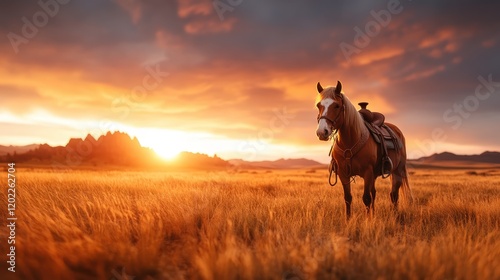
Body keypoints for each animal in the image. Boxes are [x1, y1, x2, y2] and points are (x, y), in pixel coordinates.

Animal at [314, 81, 412, 219]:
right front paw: (349, 220)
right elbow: (348, 198)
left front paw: (368, 220)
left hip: (397, 171)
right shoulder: (344, 174)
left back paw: (395, 215)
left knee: (393, 195)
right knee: (375, 192)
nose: (322, 132)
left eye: (337, 106)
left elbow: (366, 198)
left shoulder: (367, 172)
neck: (350, 142)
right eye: (319, 105)